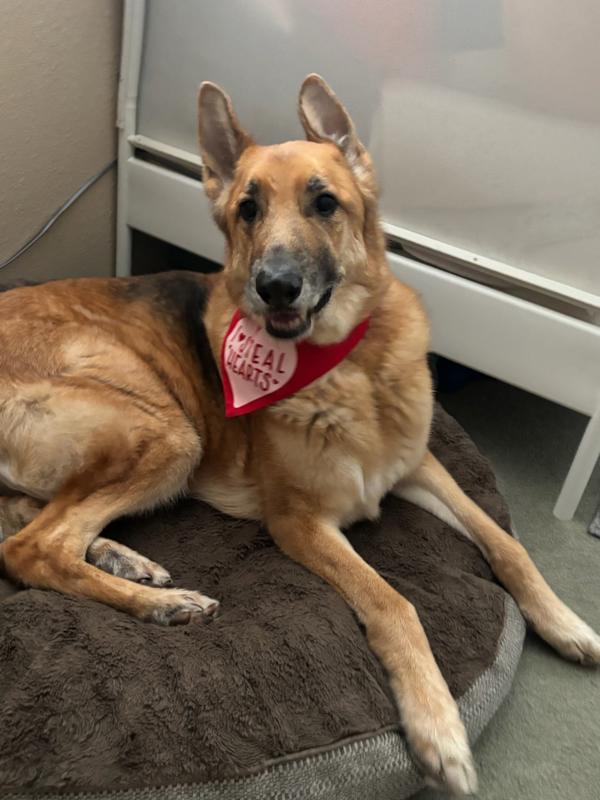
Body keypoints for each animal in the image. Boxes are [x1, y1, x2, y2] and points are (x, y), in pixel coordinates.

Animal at [1, 76, 600, 792]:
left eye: (325, 203)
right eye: (247, 210)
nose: (276, 287)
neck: (350, 368)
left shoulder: (418, 465)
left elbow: (505, 543)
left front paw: (564, 621)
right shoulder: (300, 523)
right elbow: (394, 601)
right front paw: (438, 727)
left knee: (33, 521)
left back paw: (130, 562)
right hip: (171, 433)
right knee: (31, 548)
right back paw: (160, 605)